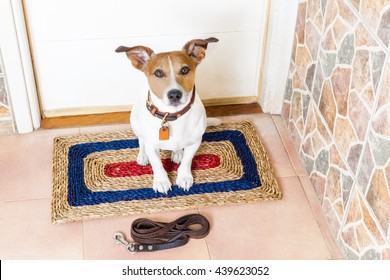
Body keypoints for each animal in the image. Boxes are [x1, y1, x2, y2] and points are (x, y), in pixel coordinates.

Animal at [115, 37, 219, 194]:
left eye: (184, 70)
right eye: (158, 73)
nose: (174, 94)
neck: (173, 116)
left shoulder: (195, 142)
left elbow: (187, 161)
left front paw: (184, 177)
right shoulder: (152, 145)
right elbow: (157, 164)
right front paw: (161, 181)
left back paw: (177, 153)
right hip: (135, 123)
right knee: (141, 141)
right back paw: (143, 155)